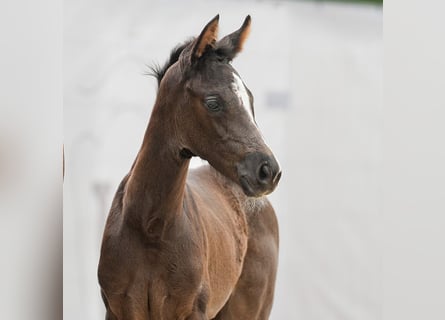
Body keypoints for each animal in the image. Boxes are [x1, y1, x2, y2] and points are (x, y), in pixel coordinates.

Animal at [99, 15, 282, 320]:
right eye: (213, 102)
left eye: (251, 100)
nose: (268, 171)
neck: (150, 227)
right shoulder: (117, 309)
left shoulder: (193, 311)